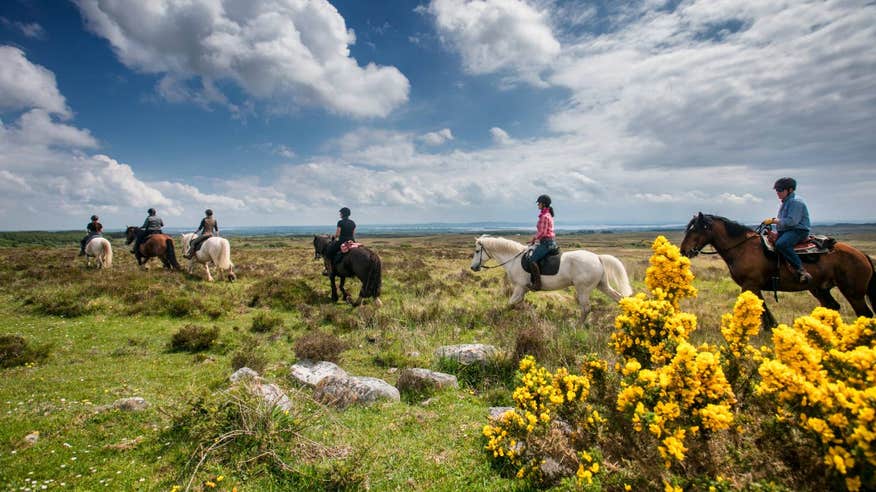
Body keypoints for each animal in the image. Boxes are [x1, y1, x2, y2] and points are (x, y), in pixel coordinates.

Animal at [468, 235, 632, 320]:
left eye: (477, 251)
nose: (473, 267)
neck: (513, 259)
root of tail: (598, 257)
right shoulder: (523, 289)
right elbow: (518, 304)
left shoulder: (519, 287)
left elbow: (510, 303)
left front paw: (498, 316)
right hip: (602, 285)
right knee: (618, 298)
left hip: (583, 289)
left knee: (586, 308)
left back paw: (578, 326)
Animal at [680, 211, 872, 326]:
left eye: (696, 229)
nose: (684, 250)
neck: (742, 247)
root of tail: (863, 255)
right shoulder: (753, 286)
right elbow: (762, 307)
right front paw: (771, 327)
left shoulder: (750, 284)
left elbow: (759, 307)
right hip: (820, 289)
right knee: (832, 306)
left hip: (853, 293)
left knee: (865, 314)